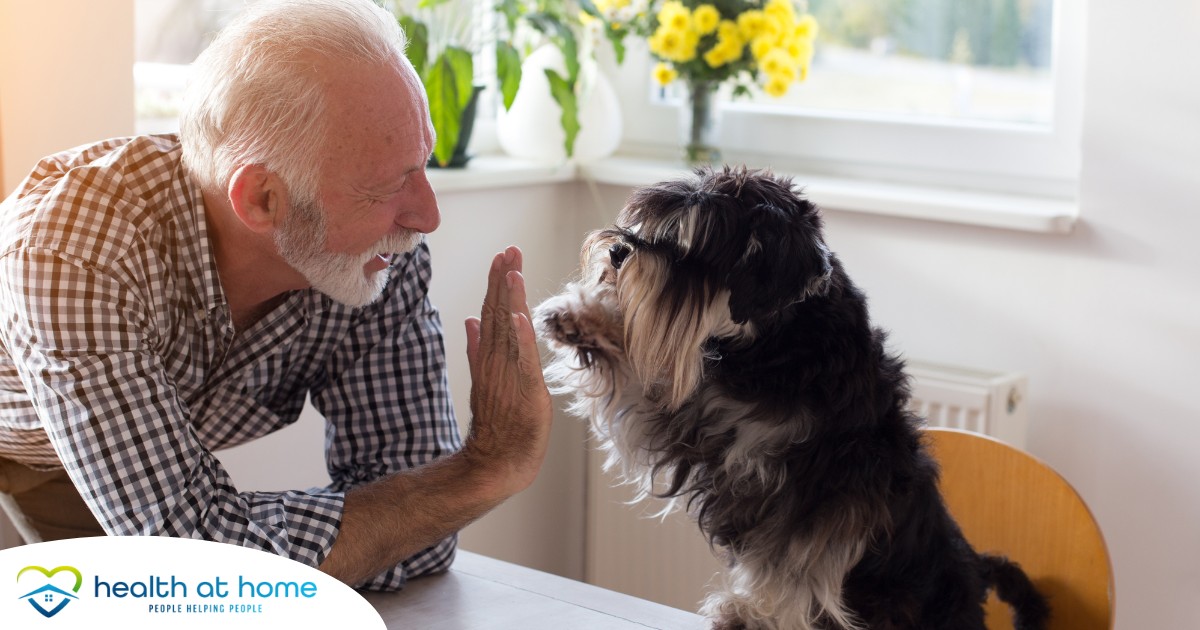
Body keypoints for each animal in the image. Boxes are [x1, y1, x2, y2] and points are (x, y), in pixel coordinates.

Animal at [535, 166, 1051, 628]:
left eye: (695, 246)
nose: (618, 250)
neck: (777, 346)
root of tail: (976, 574)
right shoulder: (694, 418)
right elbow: (640, 380)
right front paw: (579, 317)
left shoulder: (824, 492)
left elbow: (794, 563)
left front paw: (753, 614)